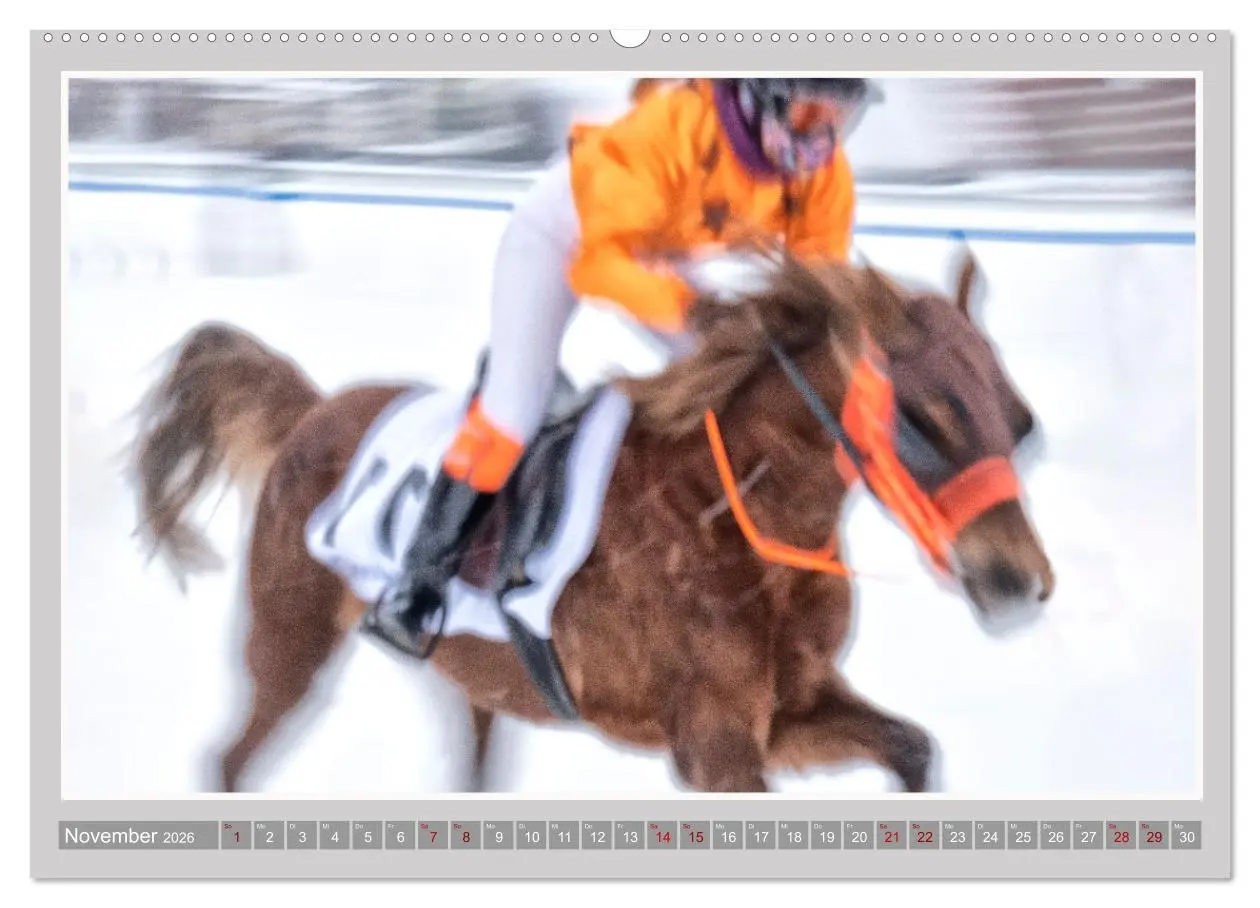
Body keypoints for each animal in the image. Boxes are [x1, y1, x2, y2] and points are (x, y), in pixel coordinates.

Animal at [128, 247, 1055, 794]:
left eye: (1018, 422)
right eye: (924, 421)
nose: (1018, 581)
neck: (735, 517)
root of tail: (313, 410)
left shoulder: (790, 710)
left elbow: (912, 747)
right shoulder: (715, 744)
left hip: (476, 679)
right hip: (289, 639)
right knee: (231, 761)